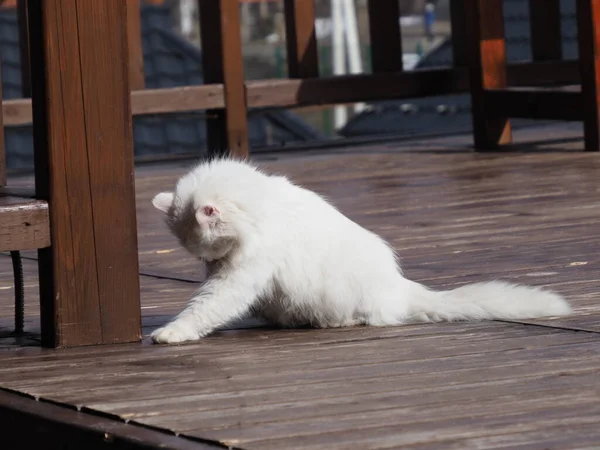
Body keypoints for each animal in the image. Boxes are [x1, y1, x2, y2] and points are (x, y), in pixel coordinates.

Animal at [150, 156, 572, 342]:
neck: (255, 208)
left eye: (205, 250)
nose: (208, 263)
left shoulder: (238, 277)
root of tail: (401, 288)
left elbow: (204, 307)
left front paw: (172, 332)